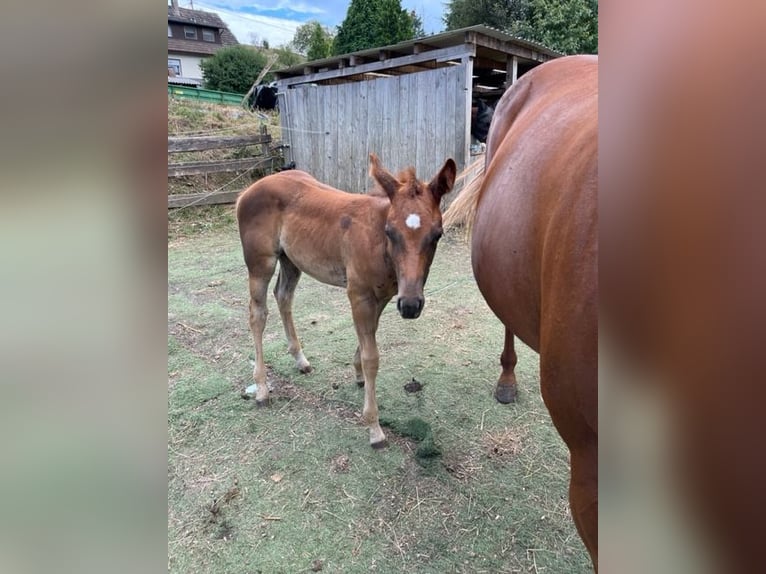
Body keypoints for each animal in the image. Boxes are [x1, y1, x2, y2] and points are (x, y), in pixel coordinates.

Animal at [237, 154, 460, 450]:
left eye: (437, 234)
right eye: (390, 231)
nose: (411, 306)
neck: (376, 241)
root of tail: (247, 191)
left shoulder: (384, 296)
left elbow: (368, 342)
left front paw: (358, 375)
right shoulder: (359, 295)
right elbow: (372, 357)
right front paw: (374, 427)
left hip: (291, 260)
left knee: (284, 297)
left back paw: (300, 359)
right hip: (260, 264)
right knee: (257, 315)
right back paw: (262, 388)